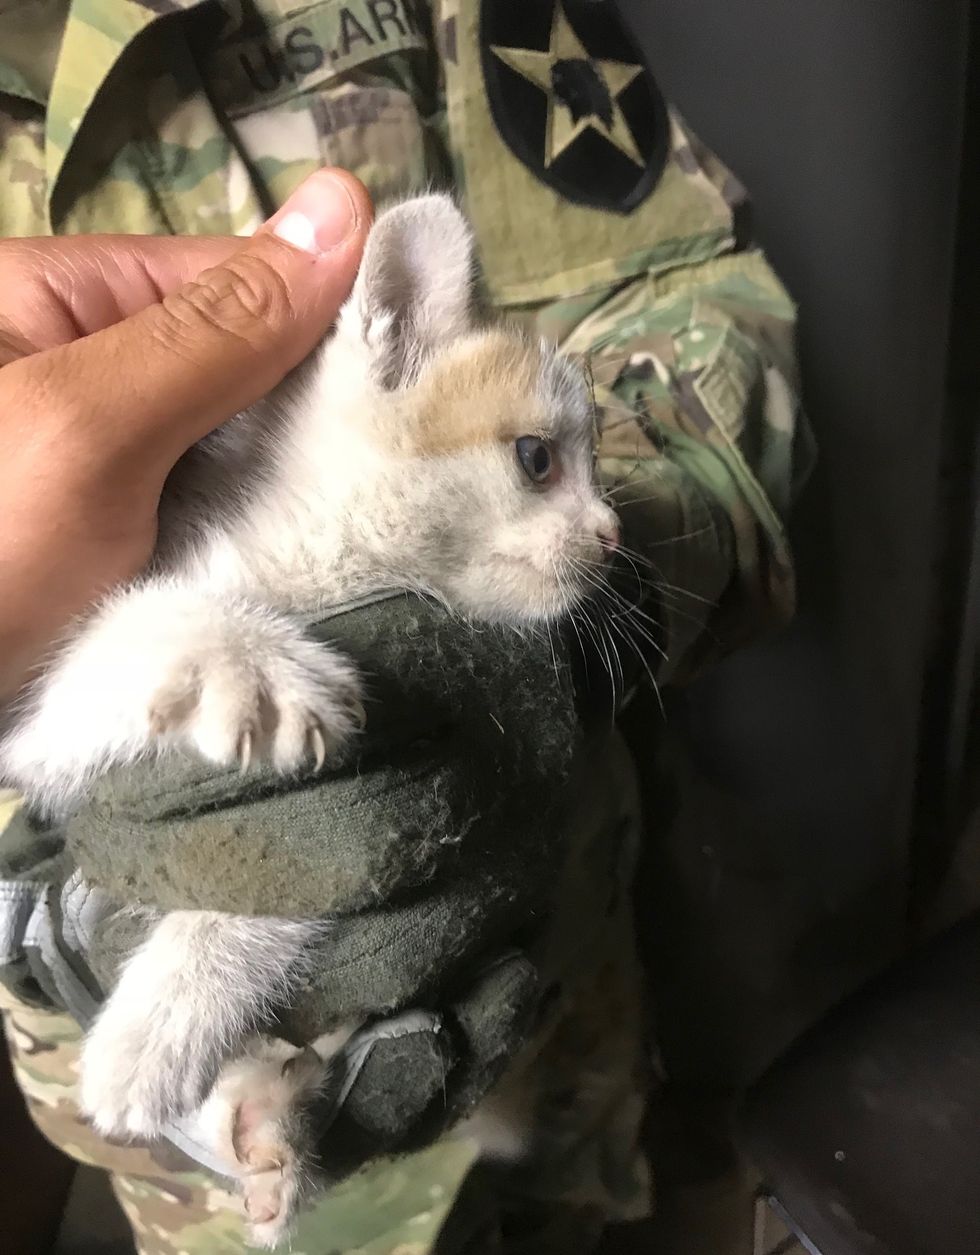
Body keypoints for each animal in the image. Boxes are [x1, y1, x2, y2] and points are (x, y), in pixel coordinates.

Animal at [0, 195, 614, 1244]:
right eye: (538, 459)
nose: (614, 537)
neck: (329, 558)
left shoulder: (348, 812)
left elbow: (280, 881)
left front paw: (166, 1017)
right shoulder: (38, 719)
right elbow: (125, 635)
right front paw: (249, 660)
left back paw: (262, 1129)